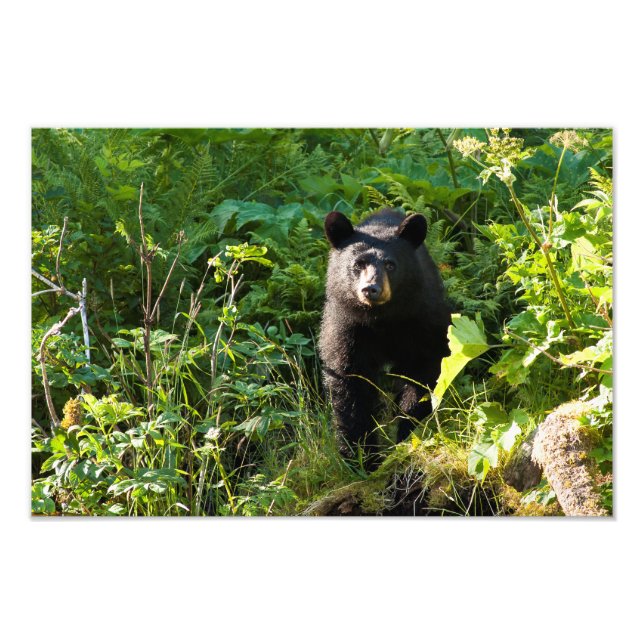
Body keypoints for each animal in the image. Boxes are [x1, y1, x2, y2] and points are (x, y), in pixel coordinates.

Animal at [319, 208, 451, 463]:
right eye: (358, 264)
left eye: (390, 265)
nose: (371, 289)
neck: (382, 319)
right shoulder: (347, 327)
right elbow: (350, 383)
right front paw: (361, 456)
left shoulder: (423, 320)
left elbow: (423, 373)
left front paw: (408, 432)